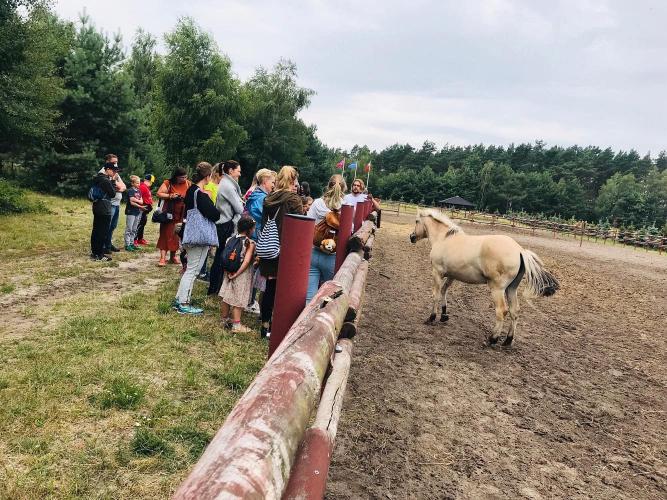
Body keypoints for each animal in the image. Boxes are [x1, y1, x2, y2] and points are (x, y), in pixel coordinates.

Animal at [412, 209, 560, 346]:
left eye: (416, 221)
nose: (411, 237)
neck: (444, 238)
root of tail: (520, 250)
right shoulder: (452, 276)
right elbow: (444, 292)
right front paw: (444, 315)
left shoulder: (437, 272)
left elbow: (436, 295)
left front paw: (432, 317)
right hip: (511, 289)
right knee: (514, 311)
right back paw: (508, 340)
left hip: (497, 289)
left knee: (502, 311)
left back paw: (492, 339)